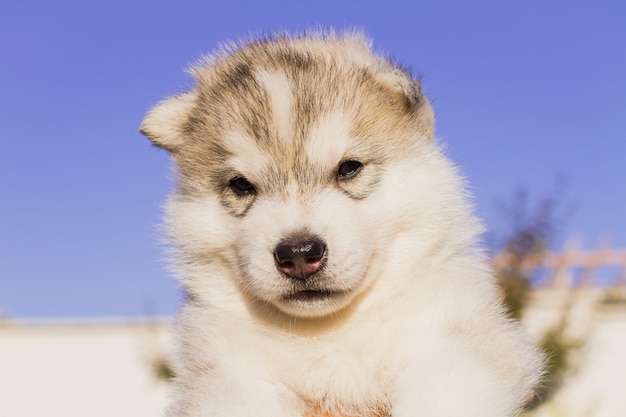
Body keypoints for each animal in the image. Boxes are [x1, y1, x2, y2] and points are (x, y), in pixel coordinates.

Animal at [141, 32, 540, 416]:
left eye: (349, 167)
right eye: (240, 185)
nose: (299, 253)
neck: (328, 334)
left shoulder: (460, 340)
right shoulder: (225, 375)